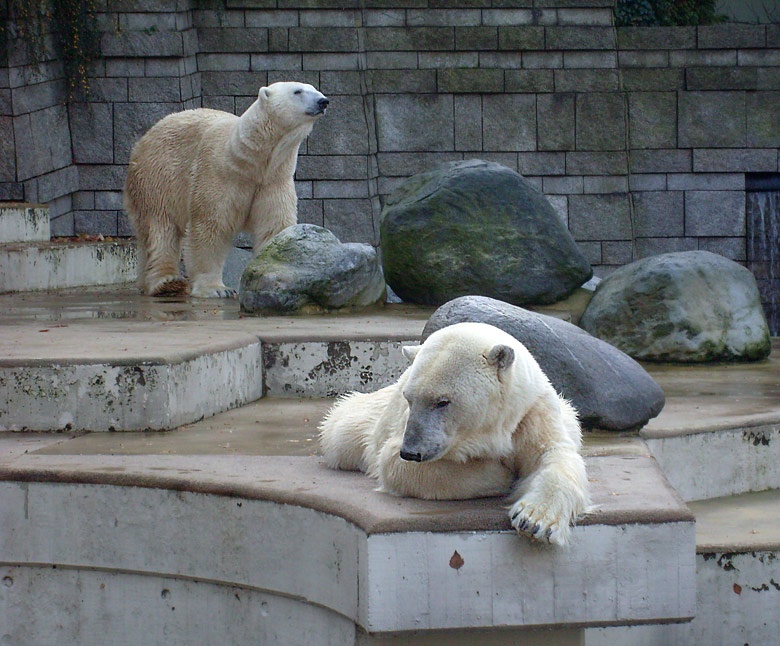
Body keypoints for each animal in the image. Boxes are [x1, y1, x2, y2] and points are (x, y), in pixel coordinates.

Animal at [124, 80, 330, 298]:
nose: (323, 101)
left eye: (315, 88)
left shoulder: (273, 180)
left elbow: (275, 228)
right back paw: (167, 283)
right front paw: (217, 289)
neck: (250, 161)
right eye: (297, 91)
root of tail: (143, 140)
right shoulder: (219, 174)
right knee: (161, 228)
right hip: (157, 176)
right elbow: (211, 227)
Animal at [320, 322, 588, 548]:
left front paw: (534, 520)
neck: (495, 426)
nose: (410, 451)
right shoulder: (402, 432)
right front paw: (502, 473)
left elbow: (553, 454)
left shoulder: (531, 413)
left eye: (442, 401)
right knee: (342, 433)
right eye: (409, 398)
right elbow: (397, 464)